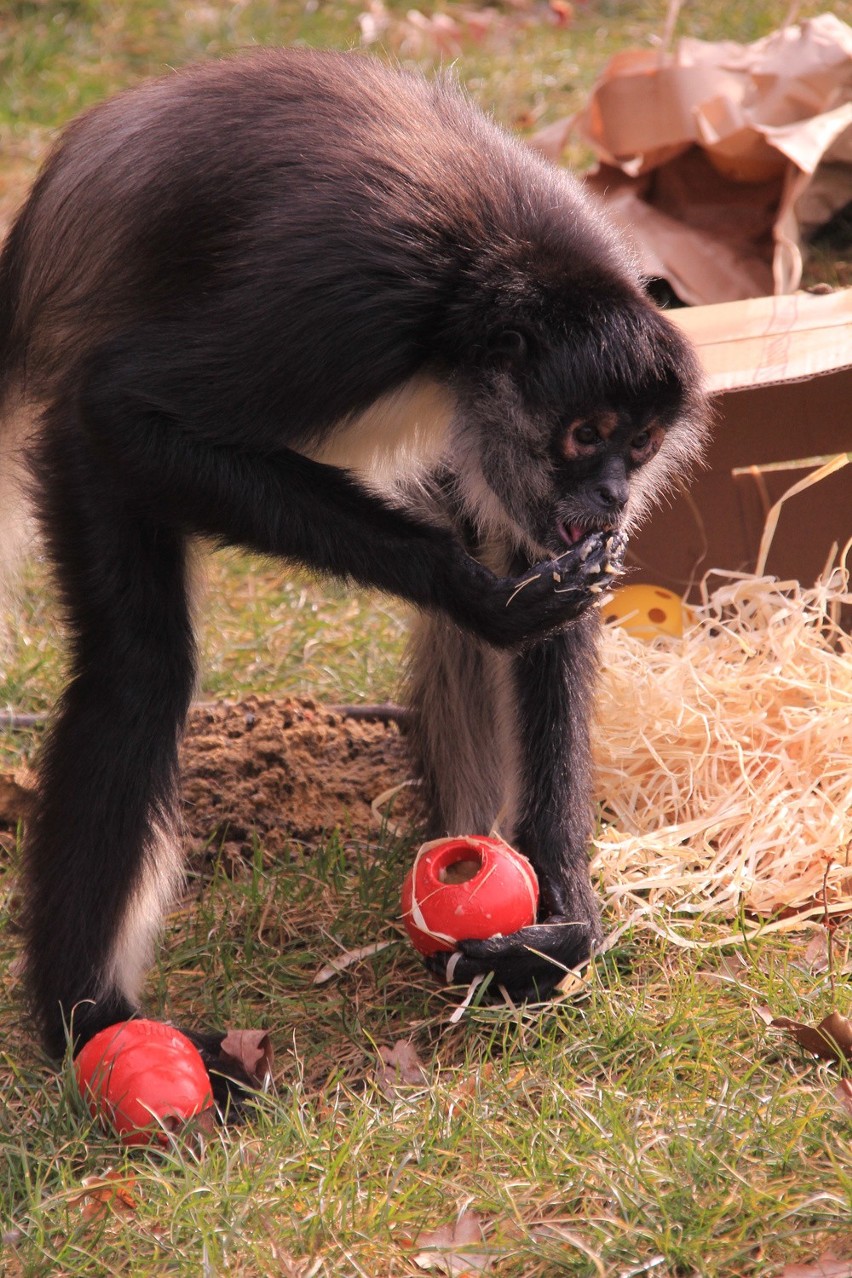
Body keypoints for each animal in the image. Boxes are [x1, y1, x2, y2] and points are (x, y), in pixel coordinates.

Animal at [0, 49, 705, 1088]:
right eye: (587, 434)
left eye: (643, 443)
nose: (616, 493)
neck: (488, 277)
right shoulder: (360, 299)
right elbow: (126, 404)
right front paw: (478, 595)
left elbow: (552, 599)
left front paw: (560, 914)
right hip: (79, 449)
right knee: (139, 669)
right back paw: (88, 1022)